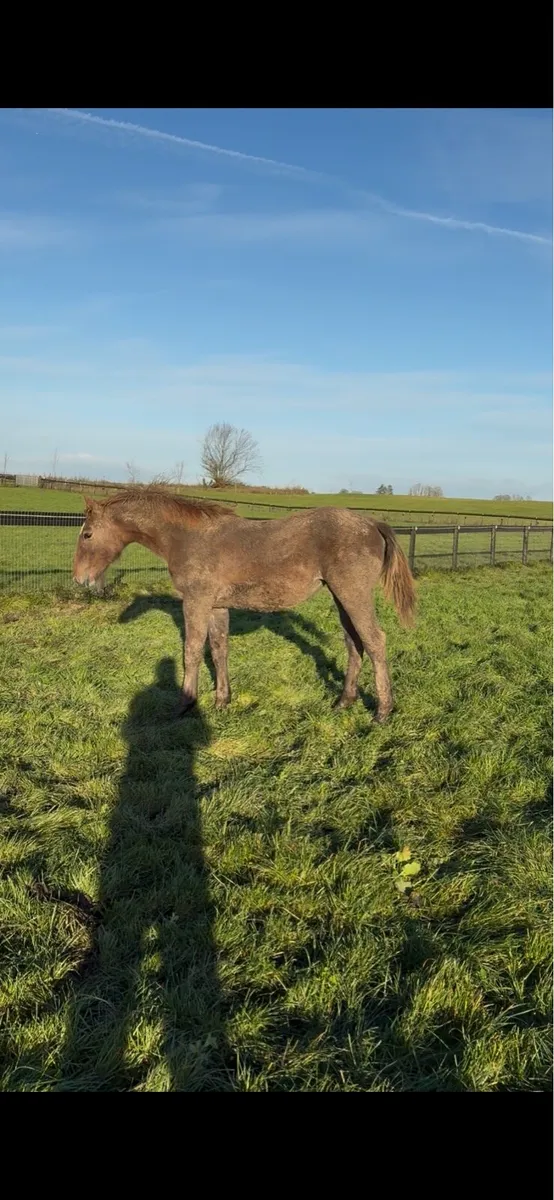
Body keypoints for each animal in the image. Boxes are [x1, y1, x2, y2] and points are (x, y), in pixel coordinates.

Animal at [73, 488, 416, 723]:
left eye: (87, 534)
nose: (80, 580)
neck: (187, 538)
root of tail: (372, 523)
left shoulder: (196, 602)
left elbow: (191, 651)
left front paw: (184, 704)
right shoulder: (216, 607)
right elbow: (218, 650)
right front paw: (222, 701)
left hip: (353, 594)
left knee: (375, 641)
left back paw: (383, 711)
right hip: (341, 597)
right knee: (354, 643)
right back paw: (344, 701)